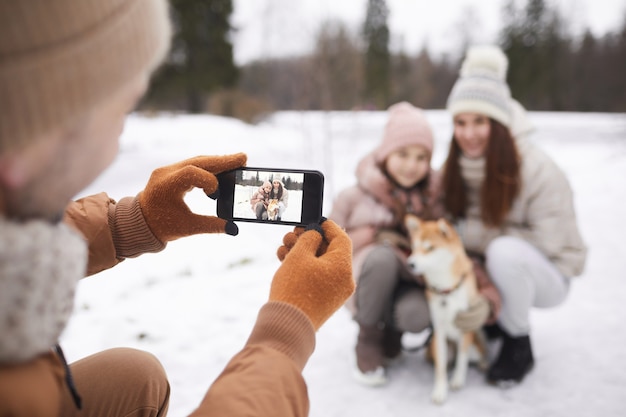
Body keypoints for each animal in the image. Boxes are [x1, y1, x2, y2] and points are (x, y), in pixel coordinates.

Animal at [402, 214, 486, 404]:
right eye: (414, 247)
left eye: (430, 248)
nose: (410, 264)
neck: (446, 292)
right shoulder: (439, 332)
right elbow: (440, 367)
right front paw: (440, 391)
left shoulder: (466, 327)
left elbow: (462, 360)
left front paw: (457, 380)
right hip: (435, 345)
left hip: (474, 347)